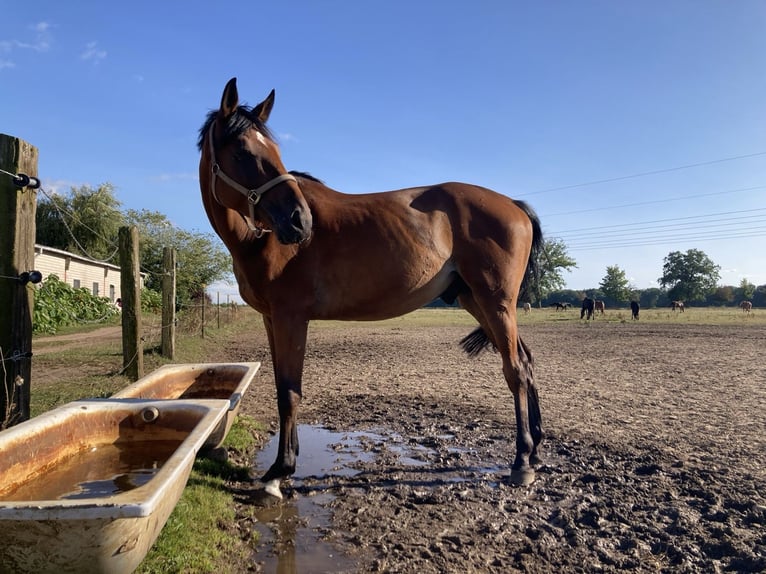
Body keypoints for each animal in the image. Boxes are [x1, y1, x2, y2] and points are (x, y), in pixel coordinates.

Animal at [198, 79, 544, 498]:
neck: (258, 240)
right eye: (244, 152)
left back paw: (522, 461)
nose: (300, 221)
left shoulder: (291, 318)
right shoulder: (271, 319)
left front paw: (280, 471)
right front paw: (284, 463)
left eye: (276, 152)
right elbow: (283, 386)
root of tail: (513, 204)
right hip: (478, 302)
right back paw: (535, 450)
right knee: (525, 361)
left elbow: (290, 392)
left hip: (496, 303)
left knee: (515, 370)